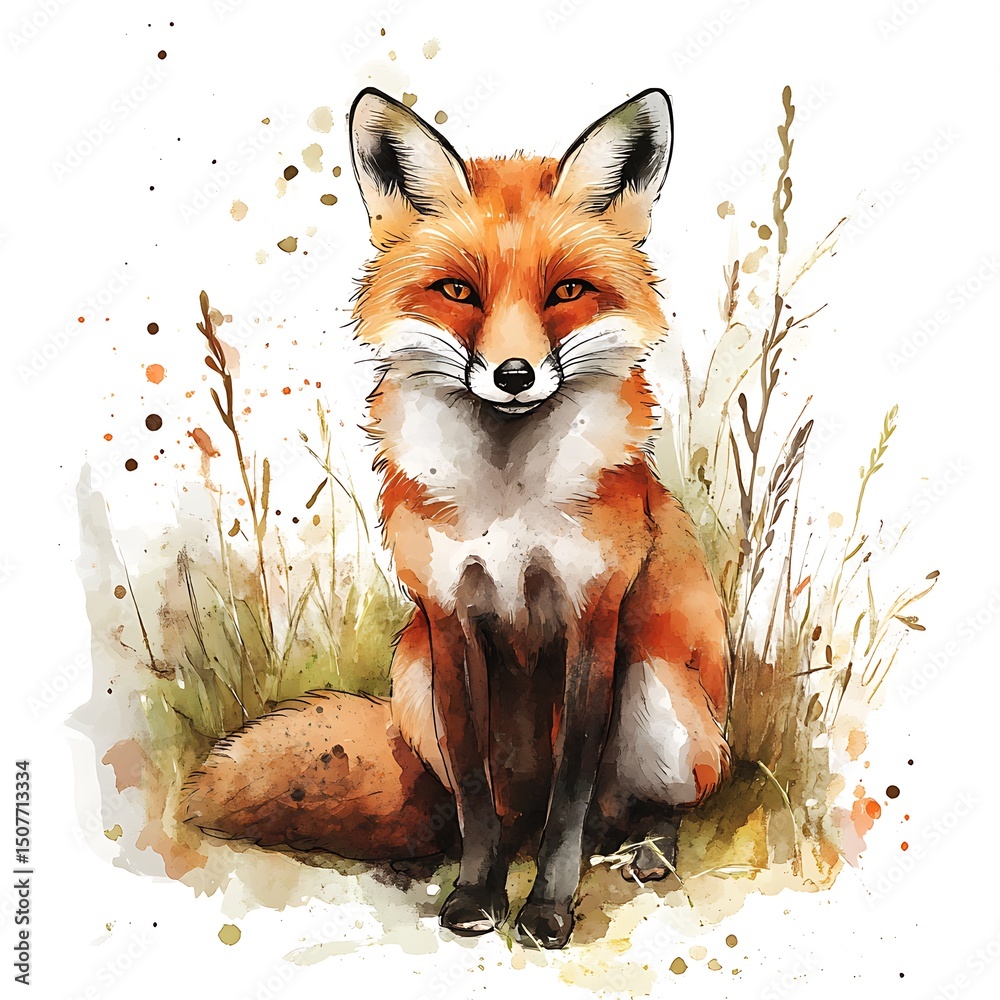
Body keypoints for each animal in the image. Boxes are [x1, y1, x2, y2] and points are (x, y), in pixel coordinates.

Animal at [347, 86, 731, 949]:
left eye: (567, 291)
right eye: (459, 291)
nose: (515, 375)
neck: (509, 500)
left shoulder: (595, 614)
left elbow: (571, 797)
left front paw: (548, 908)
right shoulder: (447, 619)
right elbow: (475, 797)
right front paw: (475, 892)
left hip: (660, 693)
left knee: (646, 805)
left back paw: (648, 846)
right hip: (410, 675)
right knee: (507, 805)